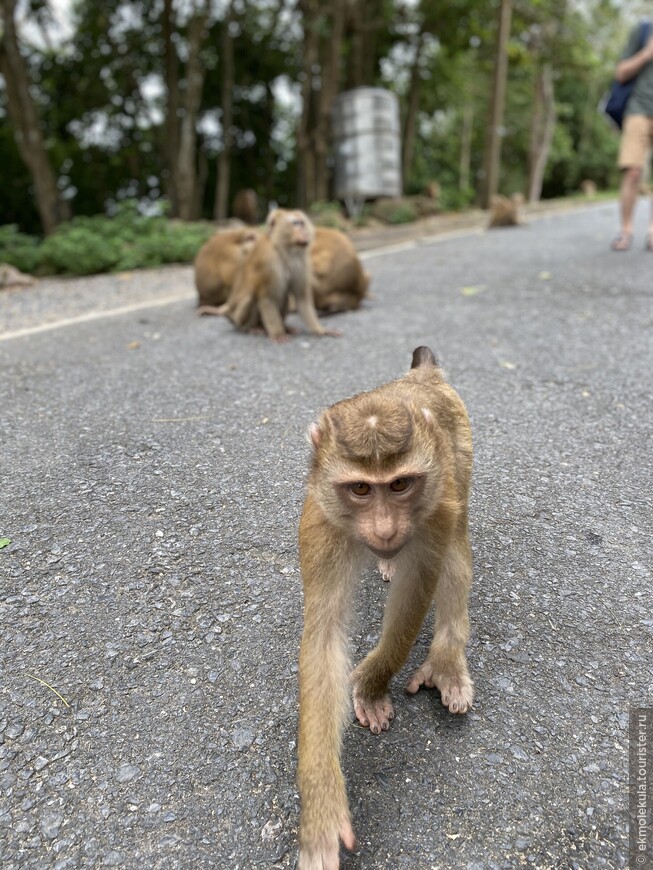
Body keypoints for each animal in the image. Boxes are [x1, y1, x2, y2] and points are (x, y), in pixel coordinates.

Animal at [219, 209, 342, 342]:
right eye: (295, 223)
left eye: (302, 223)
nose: (304, 232)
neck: (284, 249)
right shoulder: (268, 261)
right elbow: (267, 298)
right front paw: (278, 334)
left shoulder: (300, 261)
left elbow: (302, 297)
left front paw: (320, 329)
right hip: (238, 319)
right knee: (252, 297)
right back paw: (253, 327)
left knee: (284, 296)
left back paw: (284, 327)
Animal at [296, 348, 474, 870]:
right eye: (360, 489)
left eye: (398, 485)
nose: (385, 529)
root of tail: (423, 375)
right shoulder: (321, 521)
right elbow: (324, 637)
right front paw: (321, 809)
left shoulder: (436, 506)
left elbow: (420, 586)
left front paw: (372, 684)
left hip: (459, 458)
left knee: (456, 553)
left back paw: (447, 661)